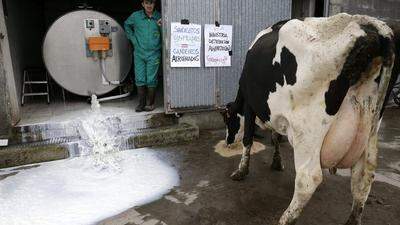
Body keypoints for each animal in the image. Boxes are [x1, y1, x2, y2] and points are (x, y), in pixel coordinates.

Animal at [222, 14, 400, 225]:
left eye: (228, 120)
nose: (227, 141)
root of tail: (373, 27)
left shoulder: (250, 105)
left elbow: (248, 139)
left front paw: (241, 171)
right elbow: (275, 136)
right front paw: (277, 162)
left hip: (307, 131)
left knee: (308, 179)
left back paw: (286, 218)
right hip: (370, 125)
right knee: (363, 177)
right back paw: (352, 219)